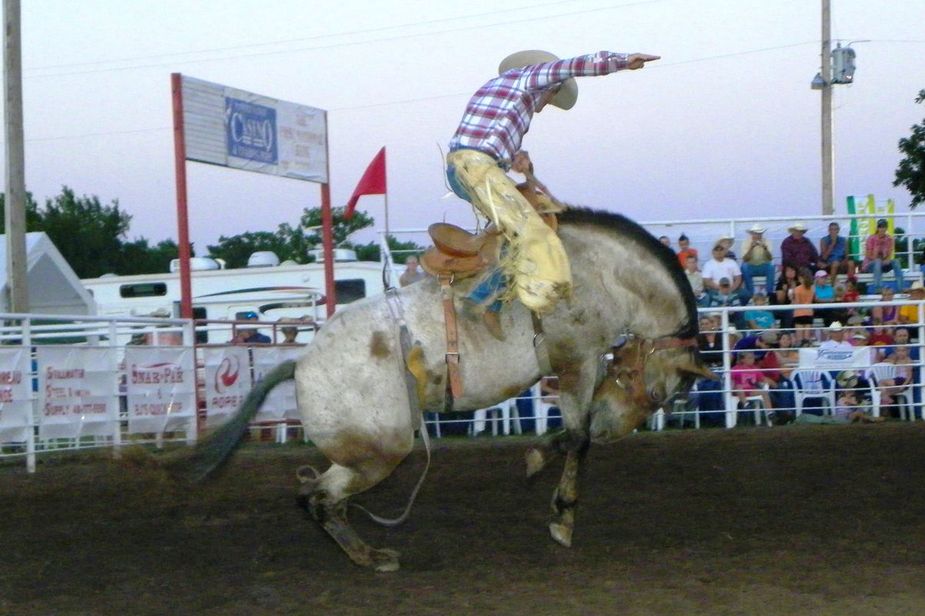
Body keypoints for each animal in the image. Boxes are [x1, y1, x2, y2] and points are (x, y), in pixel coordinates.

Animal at [182, 208, 716, 572]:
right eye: (660, 395)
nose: (613, 430)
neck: (598, 273)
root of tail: (300, 362)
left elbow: (568, 434)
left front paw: (536, 459)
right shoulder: (576, 362)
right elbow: (578, 437)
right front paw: (562, 518)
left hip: (366, 452)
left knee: (315, 494)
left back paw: (363, 551)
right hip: (382, 450)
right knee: (318, 497)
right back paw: (371, 557)